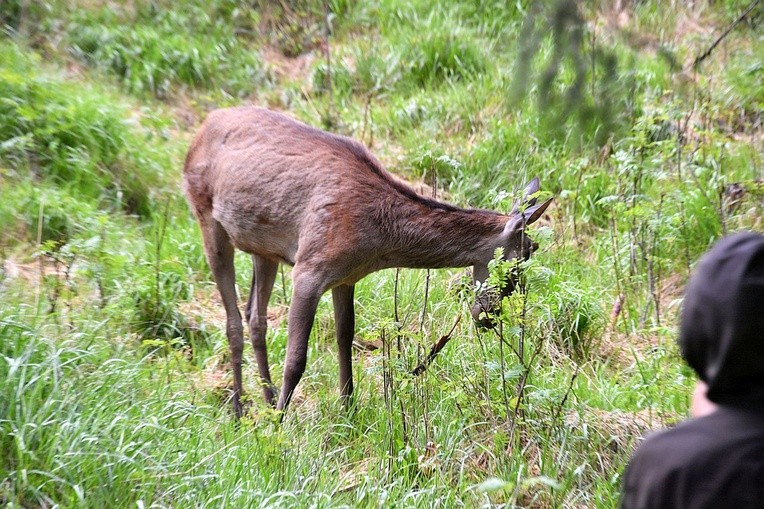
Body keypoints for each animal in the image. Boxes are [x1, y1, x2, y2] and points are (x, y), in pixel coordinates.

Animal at [182, 107, 552, 416]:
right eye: (517, 262)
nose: (487, 317)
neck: (377, 244)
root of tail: (198, 133)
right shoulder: (309, 267)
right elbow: (297, 358)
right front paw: (281, 427)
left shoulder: (346, 277)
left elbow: (345, 339)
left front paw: (348, 410)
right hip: (206, 217)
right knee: (232, 320)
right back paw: (240, 409)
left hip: (264, 248)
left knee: (255, 316)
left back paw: (267, 398)